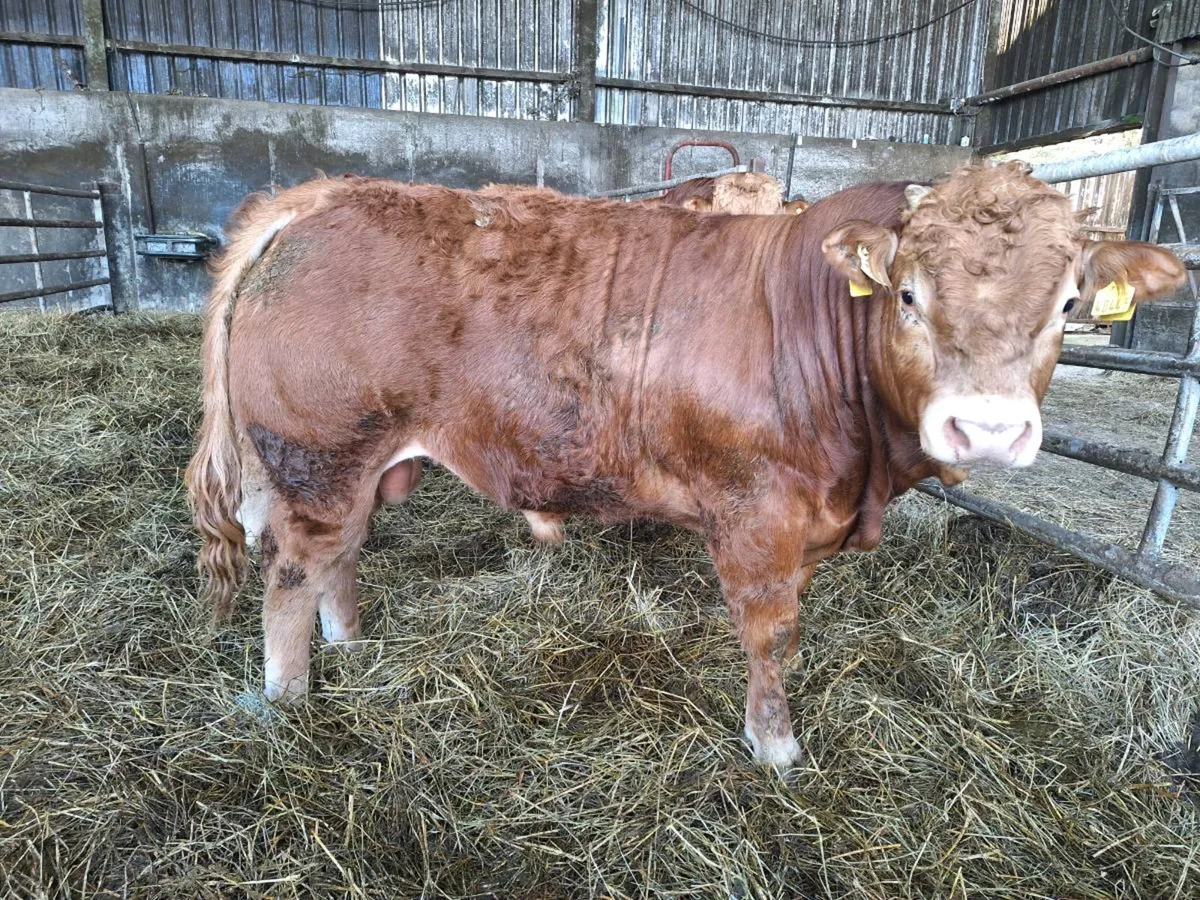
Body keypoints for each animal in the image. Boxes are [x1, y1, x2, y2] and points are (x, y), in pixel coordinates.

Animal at [186, 162, 1184, 769]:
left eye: (1068, 304)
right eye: (907, 294)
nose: (985, 428)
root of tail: (326, 196)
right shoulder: (758, 520)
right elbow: (771, 636)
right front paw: (776, 750)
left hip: (350, 467)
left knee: (338, 558)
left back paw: (353, 645)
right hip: (317, 456)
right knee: (290, 579)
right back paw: (289, 700)